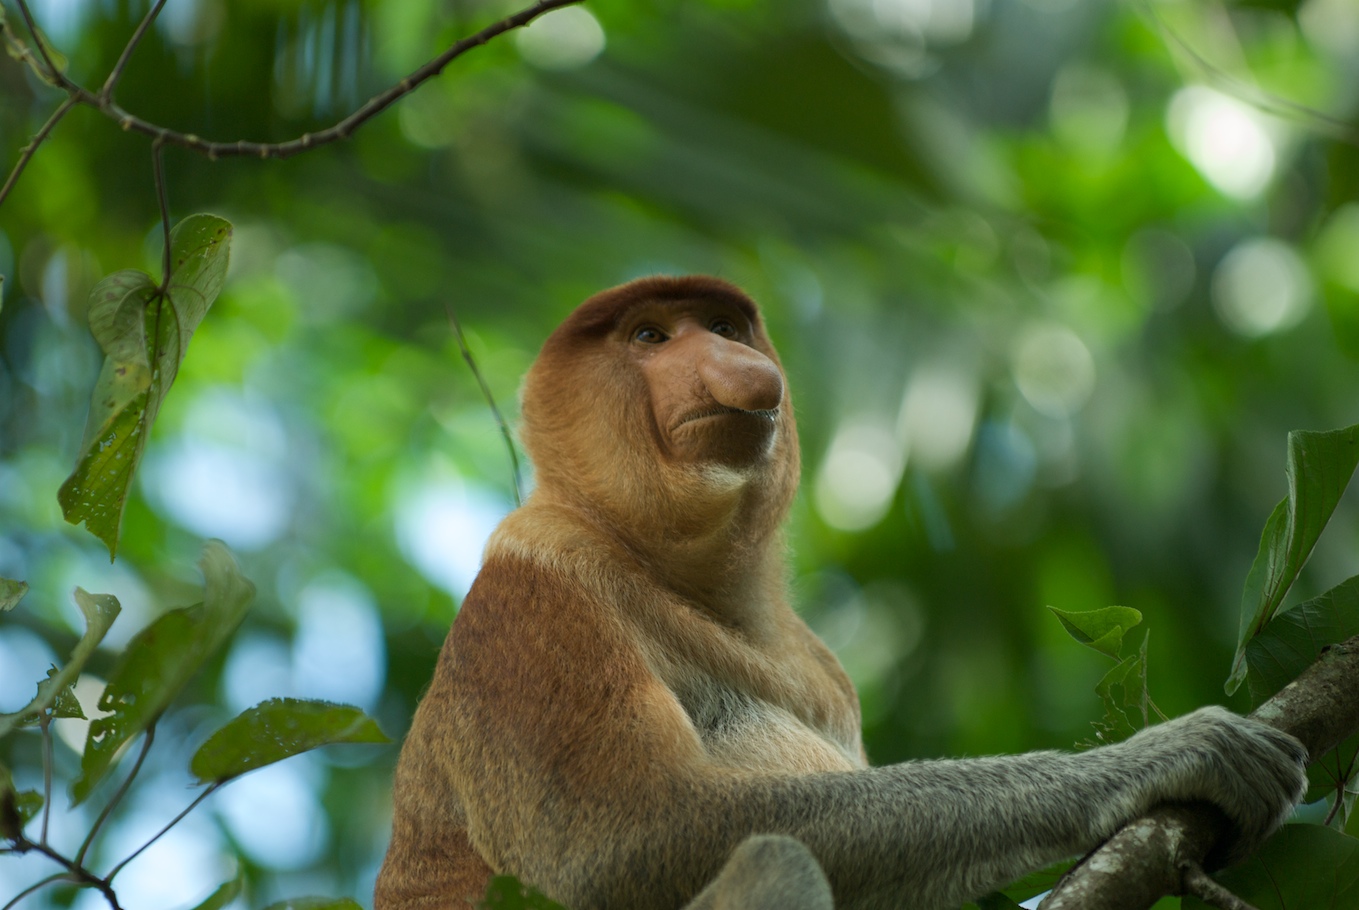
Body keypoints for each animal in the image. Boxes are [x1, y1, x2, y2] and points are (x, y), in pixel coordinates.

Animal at [377, 275, 1310, 910]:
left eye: (722, 326)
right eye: (649, 334)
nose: (739, 364)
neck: (682, 576)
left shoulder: (823, 669)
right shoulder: (537, 589)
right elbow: (615, 843)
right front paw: (1176, 752)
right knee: (770, 857)